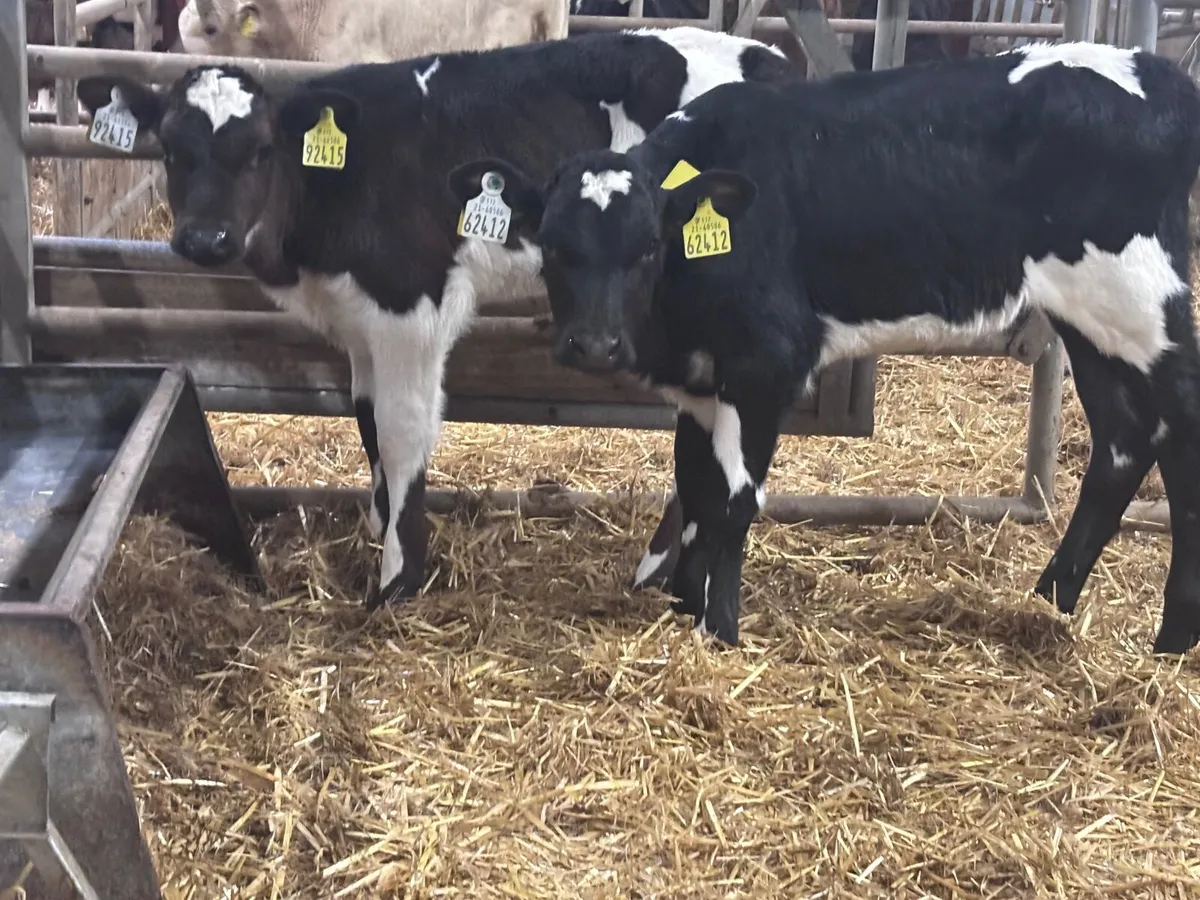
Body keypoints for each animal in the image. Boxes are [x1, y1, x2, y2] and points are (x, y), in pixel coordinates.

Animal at [76, 27, 799, 611]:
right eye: (170, 150)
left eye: (259, 150)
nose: (205, 239)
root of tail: (770, 59)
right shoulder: (358, 317)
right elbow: (366, 421)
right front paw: (378, 525)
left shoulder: (412, 306)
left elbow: (401, 434)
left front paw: (398, 577)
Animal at [447, 42, 1200, 655]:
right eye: (553, 247)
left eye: (647, 248)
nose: (596, 346)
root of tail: (1158, 73)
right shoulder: (703, 378)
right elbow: (694, 484)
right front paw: (683, 602)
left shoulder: (767, 365)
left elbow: (732, 499)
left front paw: (719, 629)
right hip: (1090, 320)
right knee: (1125, 440)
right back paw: (1047, 605)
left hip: (1140, 302)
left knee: (1180, 424)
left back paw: (1172, 636)